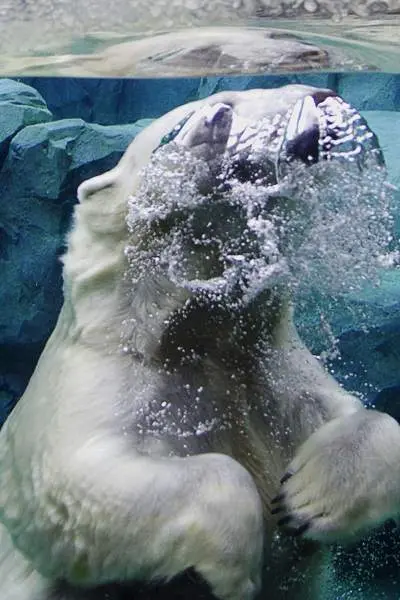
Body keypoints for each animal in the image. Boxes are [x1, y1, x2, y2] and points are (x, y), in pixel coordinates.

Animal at [0, 85, 400, 600]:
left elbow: (357, 415)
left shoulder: (270, 365)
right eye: (221, 106)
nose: (319, 95)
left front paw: (305, 498)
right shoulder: (97, 376)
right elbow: (72, 481)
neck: (189, 334)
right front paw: (236, 571)